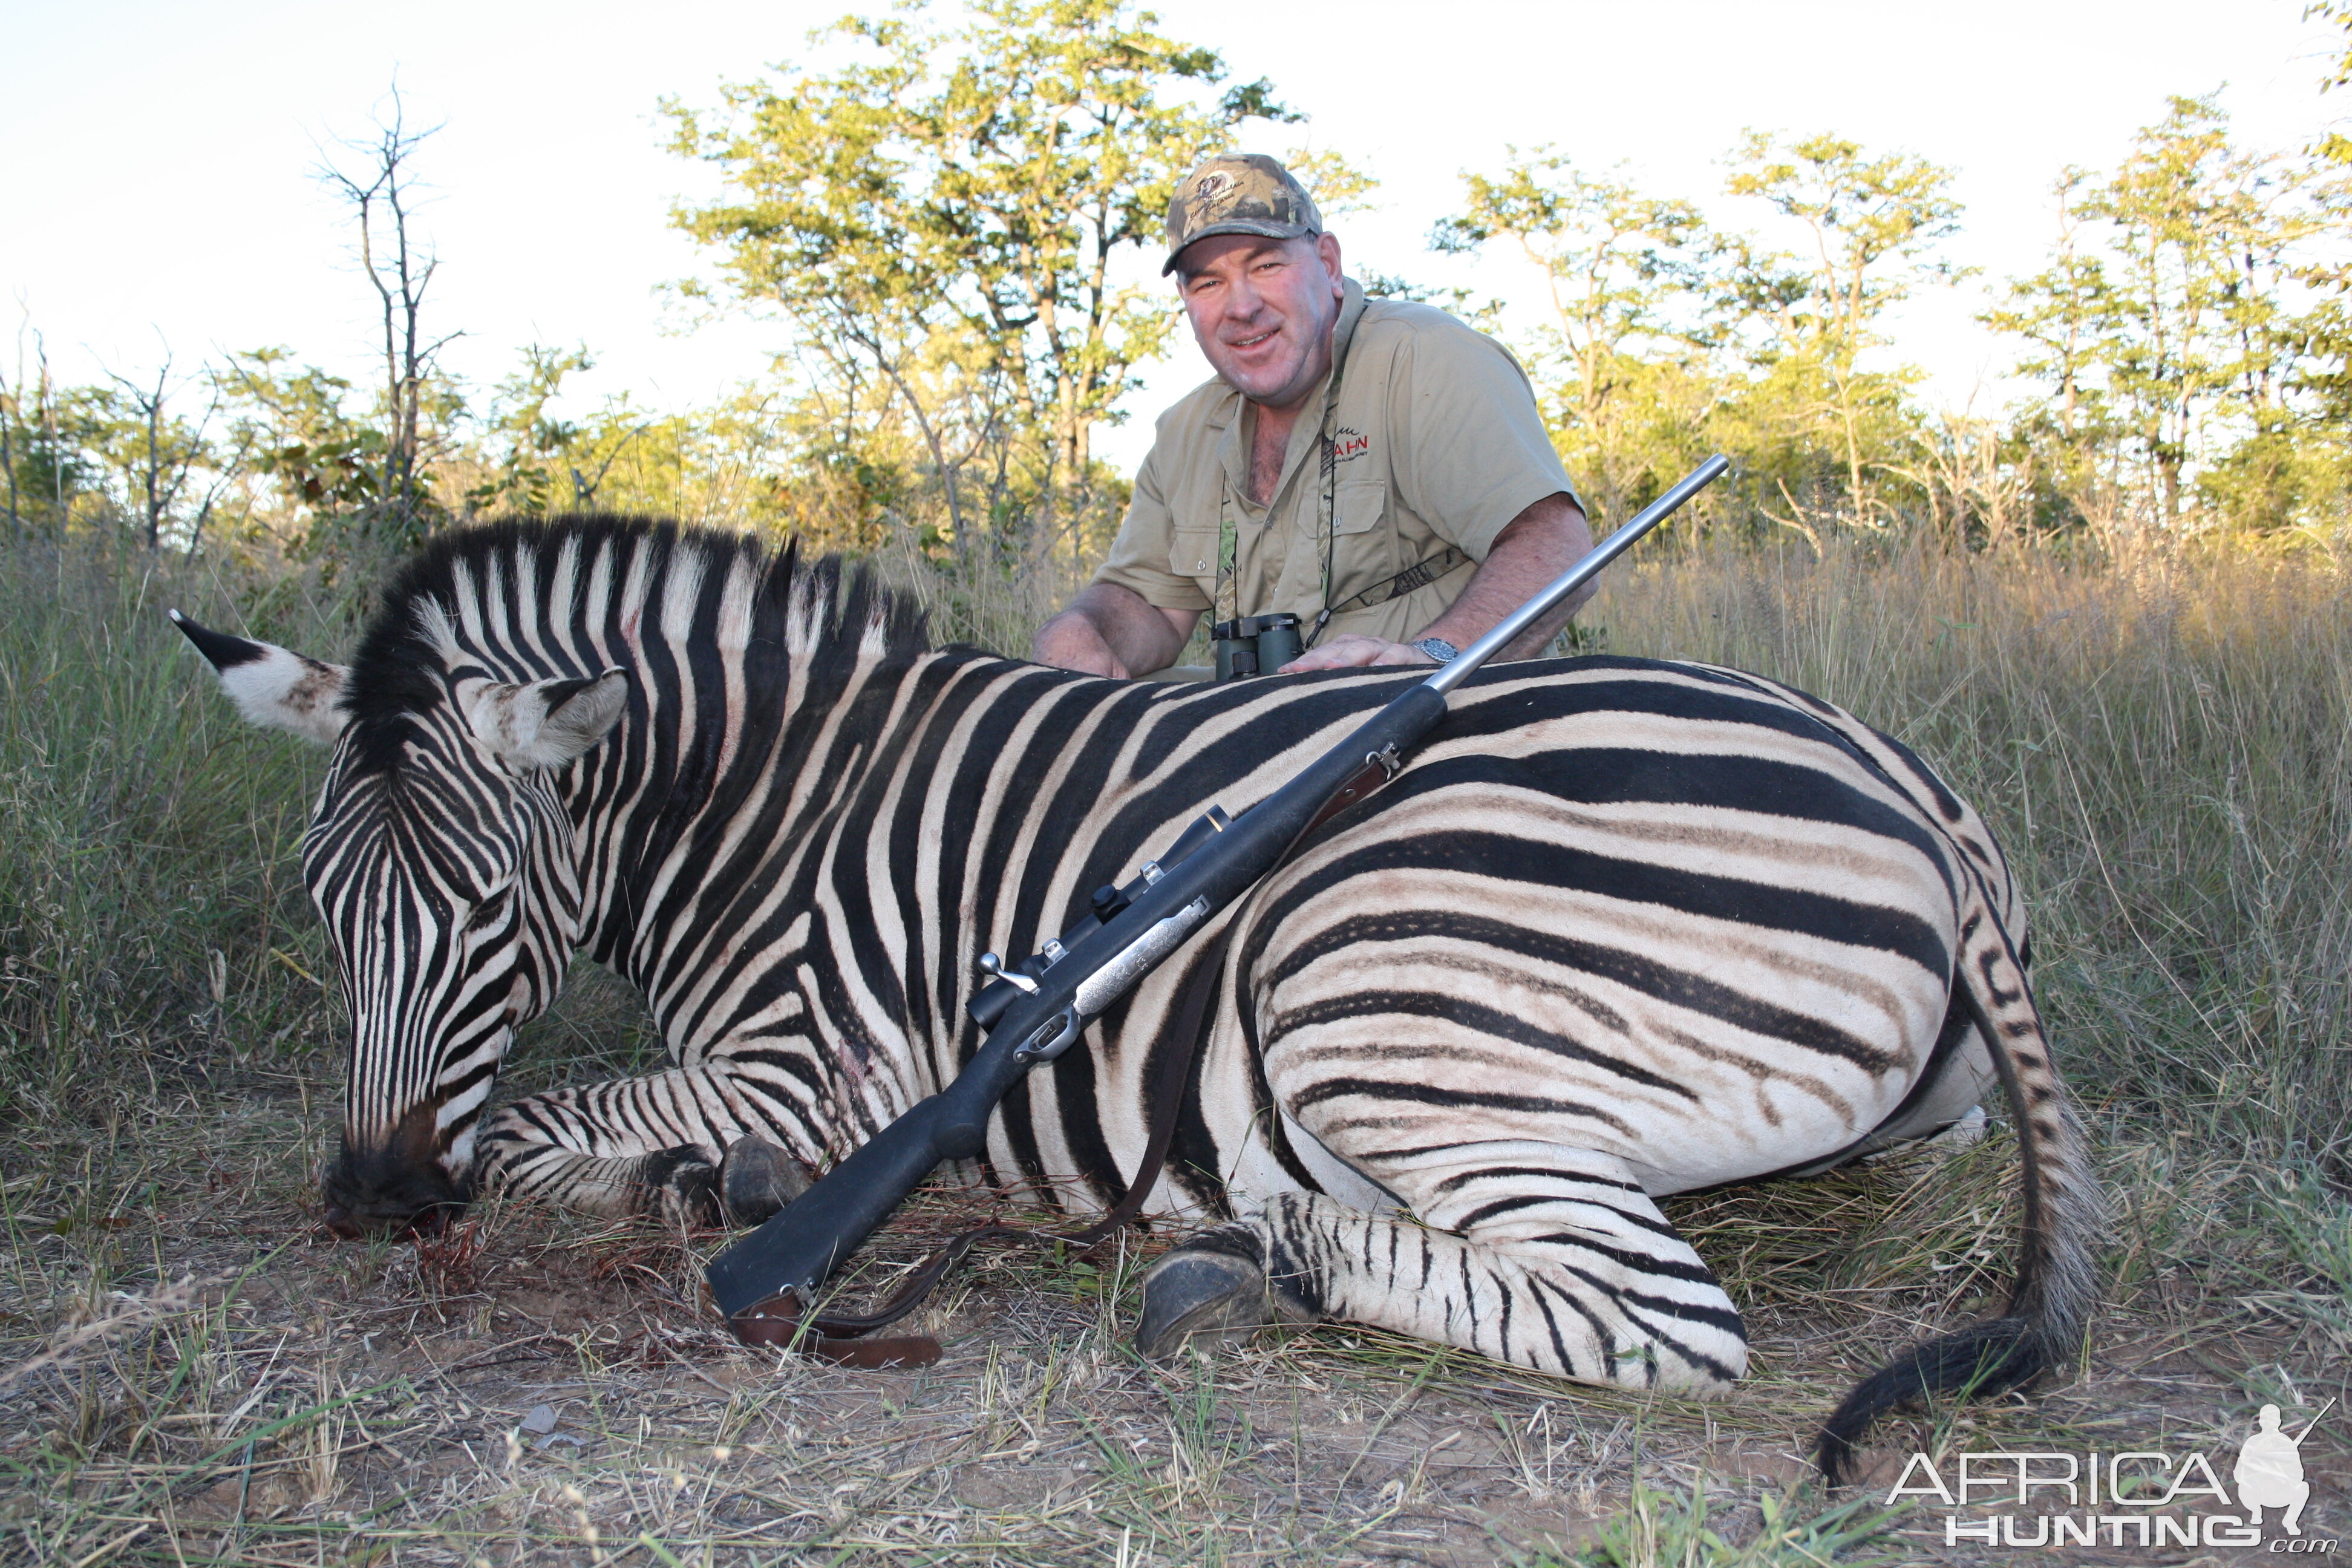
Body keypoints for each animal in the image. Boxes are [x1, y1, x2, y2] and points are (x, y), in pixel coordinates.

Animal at [174, 517, 2107, 1485]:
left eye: (484, 910)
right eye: (328, 907)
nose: (371, 1202)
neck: (771, 799)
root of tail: (1916, 791)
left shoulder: (813, 1069)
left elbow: (545, 1121)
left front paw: (681, 1187)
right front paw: (689, 1187)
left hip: (1362, 982)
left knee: (1662, 1320)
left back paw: (1243, 1258)